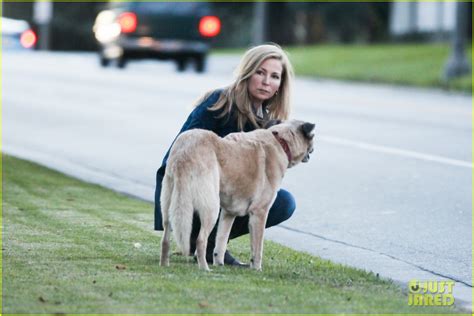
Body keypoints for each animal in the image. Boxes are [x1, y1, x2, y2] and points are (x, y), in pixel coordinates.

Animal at [159, 119, 314, 270]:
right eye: (312, 138)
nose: (312, 151)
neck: (281, 141)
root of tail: (184, 153)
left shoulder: (228, 213)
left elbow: (221, 241)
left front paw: (219, 263)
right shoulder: (259, 212)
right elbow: (257, 248)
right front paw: (256, 269)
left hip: (169, 205)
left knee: (165, 238)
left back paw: (165, 264)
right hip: (211, 207)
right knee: (200, 239)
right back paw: (204, 268)